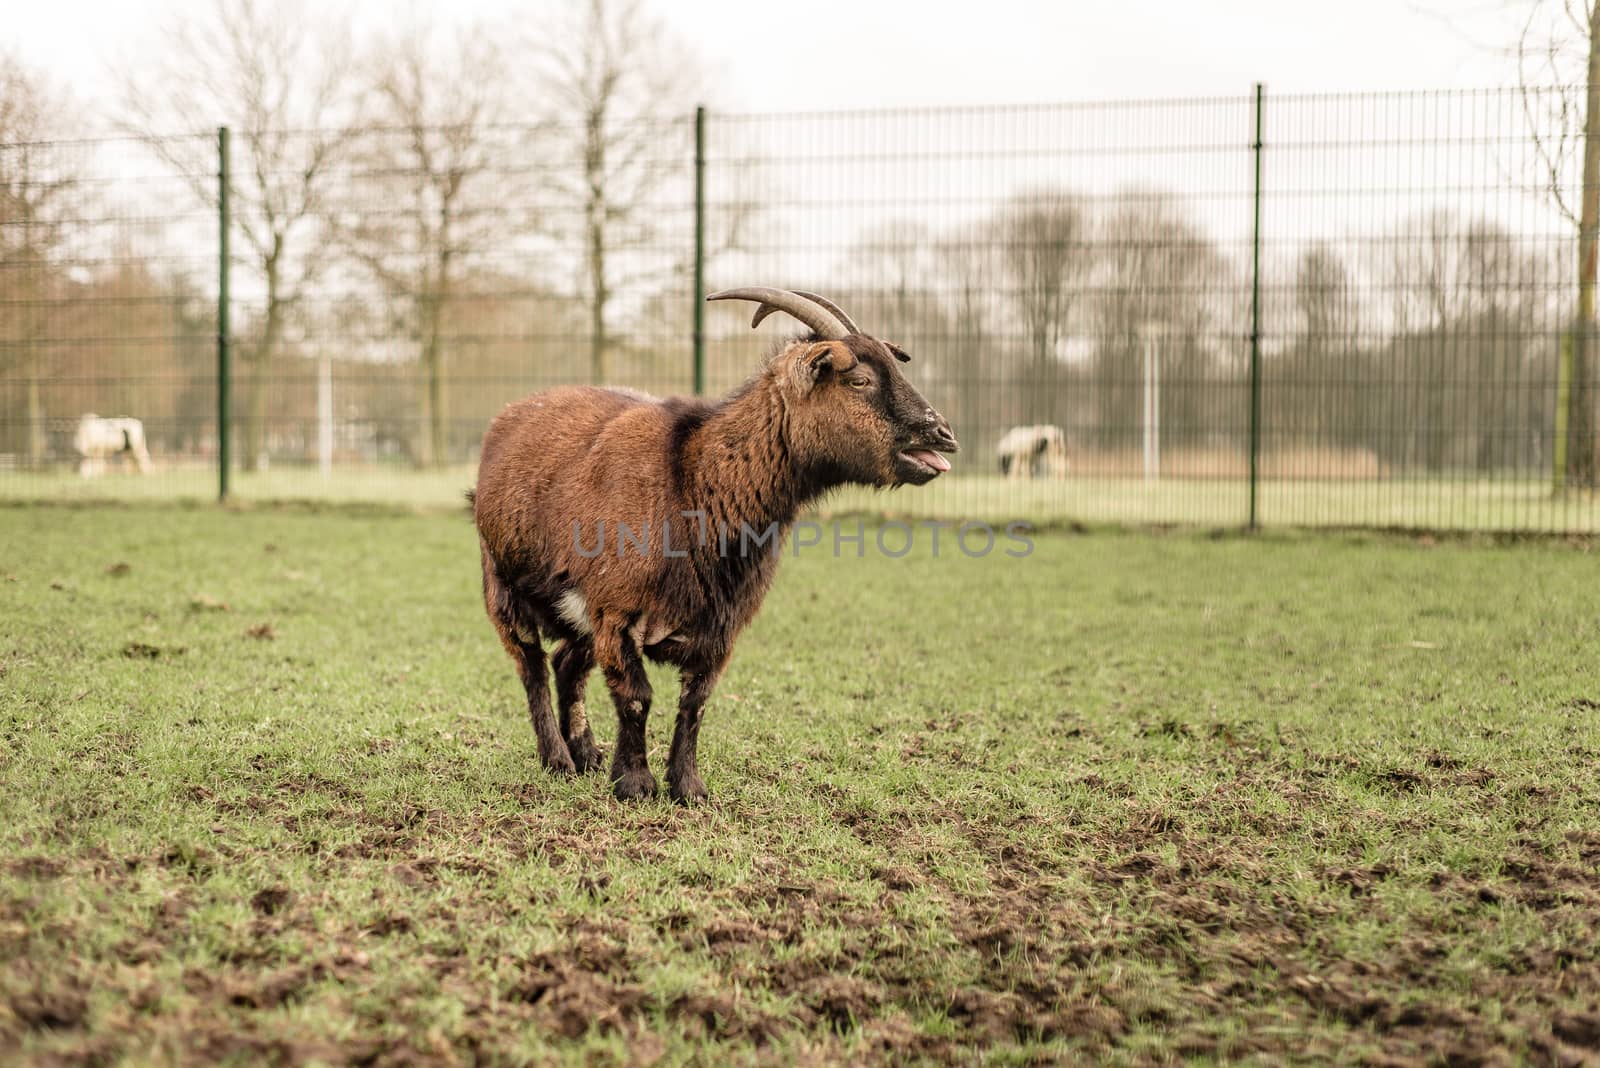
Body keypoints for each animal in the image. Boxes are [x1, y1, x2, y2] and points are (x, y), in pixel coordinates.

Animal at [467, 287, 953, 796]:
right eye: (859, 380)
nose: (943, 434)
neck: (693, 479)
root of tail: (507, 418)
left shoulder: (720, 625)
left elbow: (695, 702)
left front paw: (688, 788)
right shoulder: (615, 611)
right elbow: (636, 697)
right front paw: (636, 783)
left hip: (577, 613)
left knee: (566, 664)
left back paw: (587, 754)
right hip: (502, 586)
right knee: (533, 667)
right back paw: (558, 760)